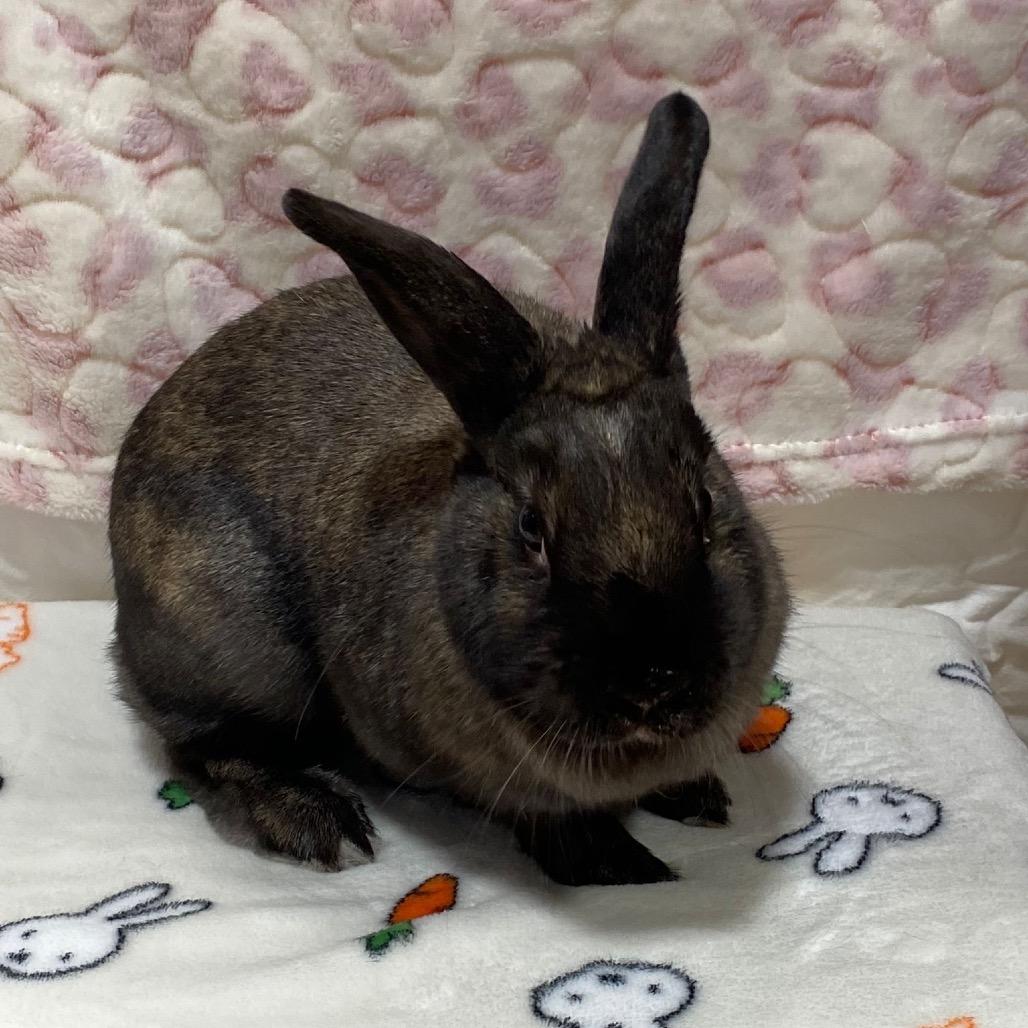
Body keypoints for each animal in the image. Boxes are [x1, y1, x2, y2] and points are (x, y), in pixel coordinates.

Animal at [108, 92, 789, 887]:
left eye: (706, 504)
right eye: (531, 529)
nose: (654, 679)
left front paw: (697, 796)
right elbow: (547, 819)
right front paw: (623, 867)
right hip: (232, 647)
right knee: (207, 748)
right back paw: (317, 820)